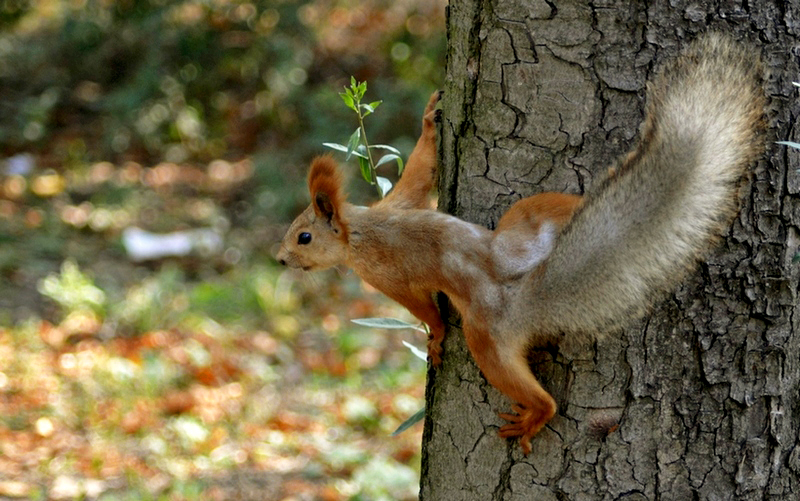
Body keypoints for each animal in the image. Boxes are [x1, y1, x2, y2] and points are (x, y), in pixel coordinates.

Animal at [278, 32, 764, 454]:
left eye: (304, 236)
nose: (281, 260)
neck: (359, 229)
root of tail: (519, 292)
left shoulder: (384, 273)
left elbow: (422, 308)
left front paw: (434, 339)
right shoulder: (401, 200)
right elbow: (421, 169)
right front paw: (431, 120)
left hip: (486, 339)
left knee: (536, 393)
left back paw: (533, 417)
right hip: (527, 220)